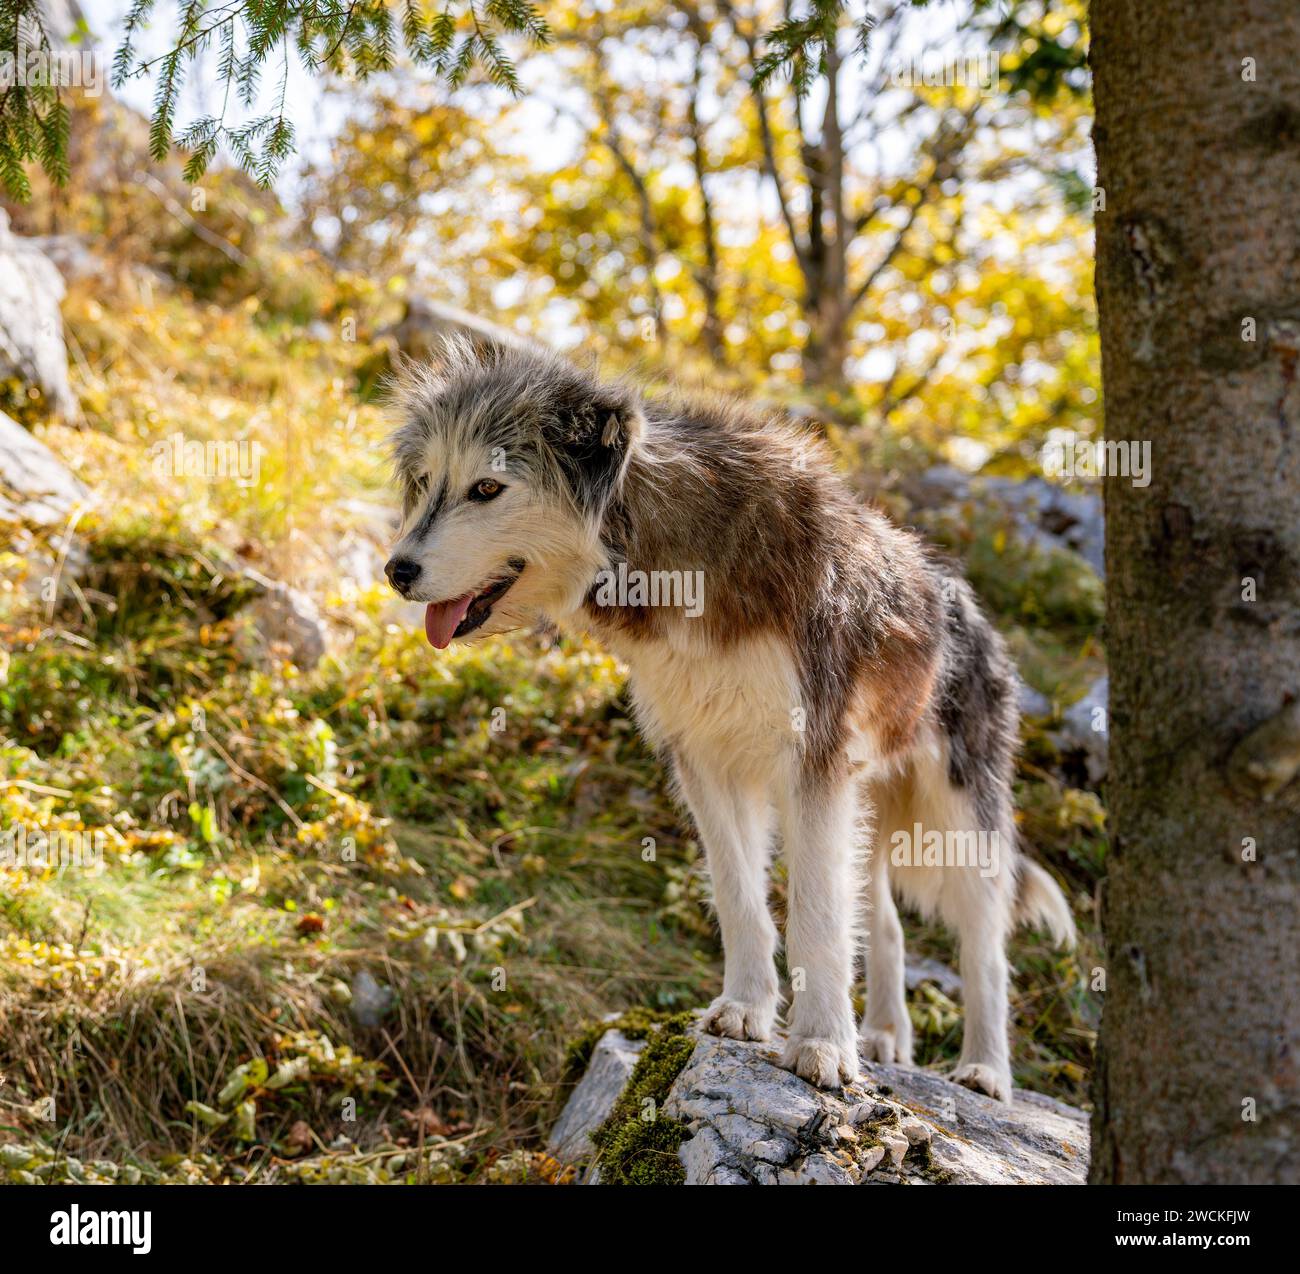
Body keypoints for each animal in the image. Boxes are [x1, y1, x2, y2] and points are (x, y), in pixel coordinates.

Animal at [379, 340, 1071, 1102]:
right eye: (426, 482)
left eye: (486, 489)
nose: (396, 571)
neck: (671, 558)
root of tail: (968, 602)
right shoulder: (707, 760)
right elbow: (741, 899)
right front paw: (747, 1010)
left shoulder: (812, 767)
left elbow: (816, 918)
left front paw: (821, 1046)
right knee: (886, 925)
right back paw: (887, 1036)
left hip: (960, 819)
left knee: (985, 946)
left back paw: (984, 1070)